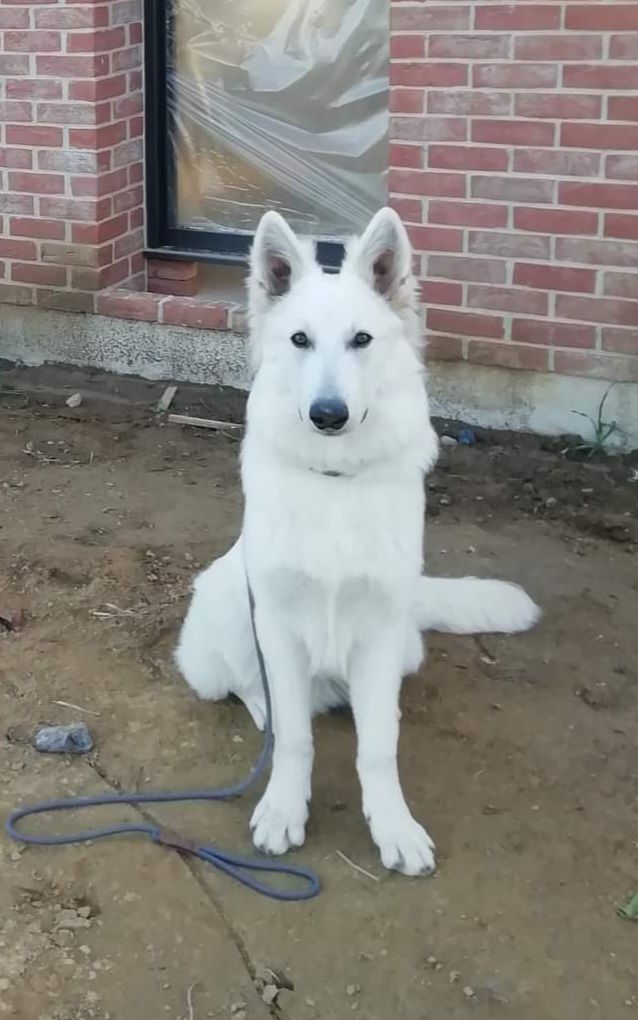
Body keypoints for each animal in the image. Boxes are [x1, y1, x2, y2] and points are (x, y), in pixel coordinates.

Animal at [174, 209, 538, 877]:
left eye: (361, 340)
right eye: (299, 340)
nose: (328, 414)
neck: (335, 479)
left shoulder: (380, 634)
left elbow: (379, 748)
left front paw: (392, 825)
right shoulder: (277, 624)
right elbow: (294, 737)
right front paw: (284, 809)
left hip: (403, 648)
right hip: (230, 609)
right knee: (249, 688)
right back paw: (264, 709)